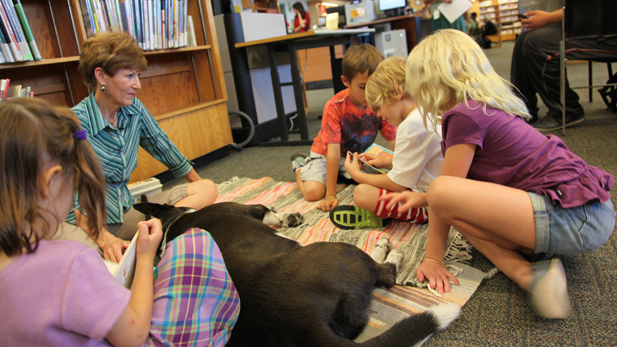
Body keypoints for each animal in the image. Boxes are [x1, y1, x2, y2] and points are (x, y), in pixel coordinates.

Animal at [136, 203, 462, 346]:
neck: (174, 223)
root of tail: (303, 322)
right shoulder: (248, 208)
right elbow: (268, 211)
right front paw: (289, 216)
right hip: (344, 251)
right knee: (385, 275)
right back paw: (389, 250)